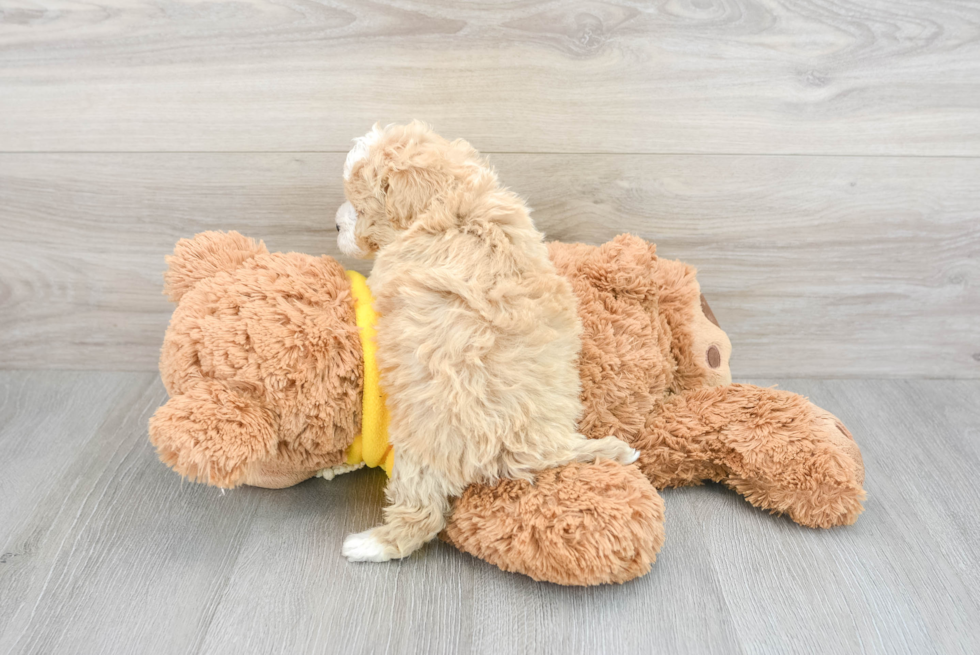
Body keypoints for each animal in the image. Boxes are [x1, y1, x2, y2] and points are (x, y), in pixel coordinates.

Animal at [340, 123, 640, 564]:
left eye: (357, 206)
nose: (335, 227)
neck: (453, 201)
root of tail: (536, 444)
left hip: (425, 440)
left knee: (423, 514)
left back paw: (369, 545)